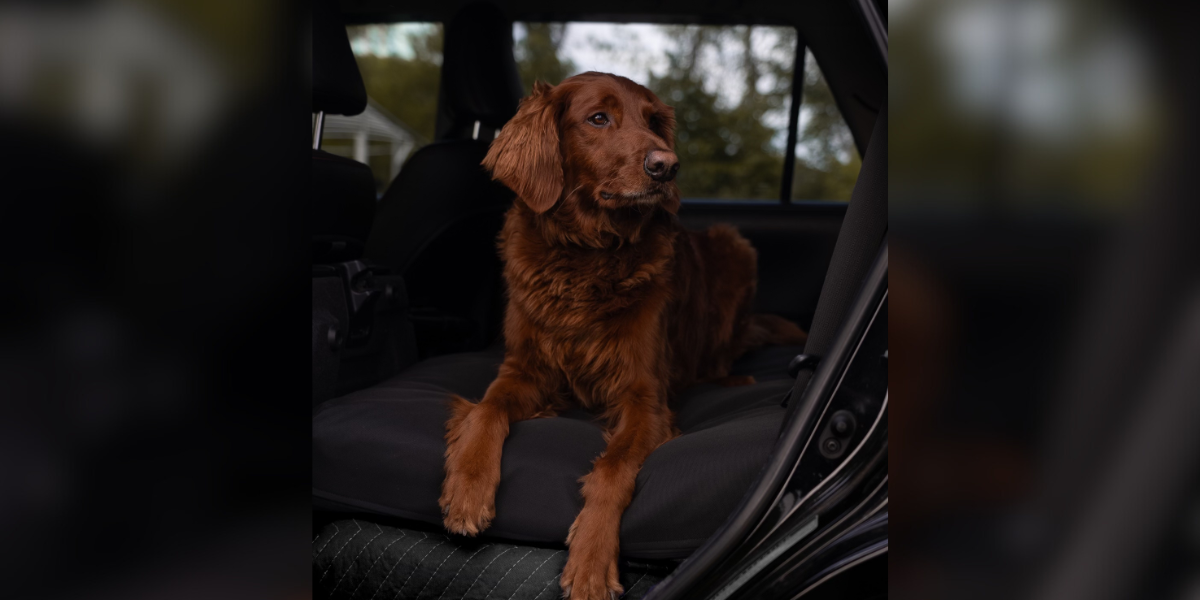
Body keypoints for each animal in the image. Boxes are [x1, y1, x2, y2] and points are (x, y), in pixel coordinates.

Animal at [441, 71, 806, 600]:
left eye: (653, 122)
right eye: (598, 118)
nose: (666, 166)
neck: (585, 255)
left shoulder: (643, 396)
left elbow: (613, 468)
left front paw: (591, 559)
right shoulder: (524, 368)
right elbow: (487, 410)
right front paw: (467, 489)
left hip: (735, 245)